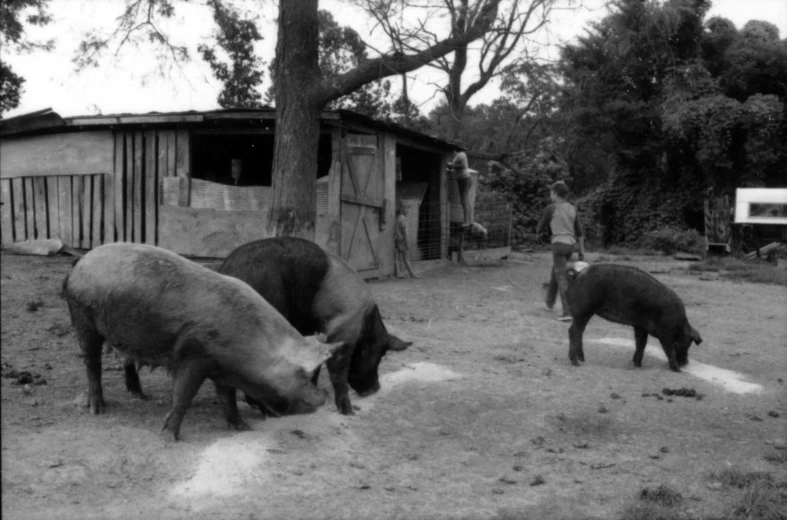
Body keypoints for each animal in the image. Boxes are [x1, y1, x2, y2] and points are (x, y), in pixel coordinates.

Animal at [63, 243, 340, 438]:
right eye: (303, 374)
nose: (322, 398)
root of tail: (81, 261)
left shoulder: (223, 368)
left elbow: (228, 398)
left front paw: (243, 427)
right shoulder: (194, 355)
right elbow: (184, 394)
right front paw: (169, 436)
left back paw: (141, 396)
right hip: (83, 317)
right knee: (92, 363)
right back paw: (98, 409)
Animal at [215, 239, 412, 414]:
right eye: (379, 354)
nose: (376, 388)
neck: (365, 323)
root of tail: (228, 269)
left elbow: (315, 365)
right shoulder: (344, 332)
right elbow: (338, 372)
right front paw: (348, 412)